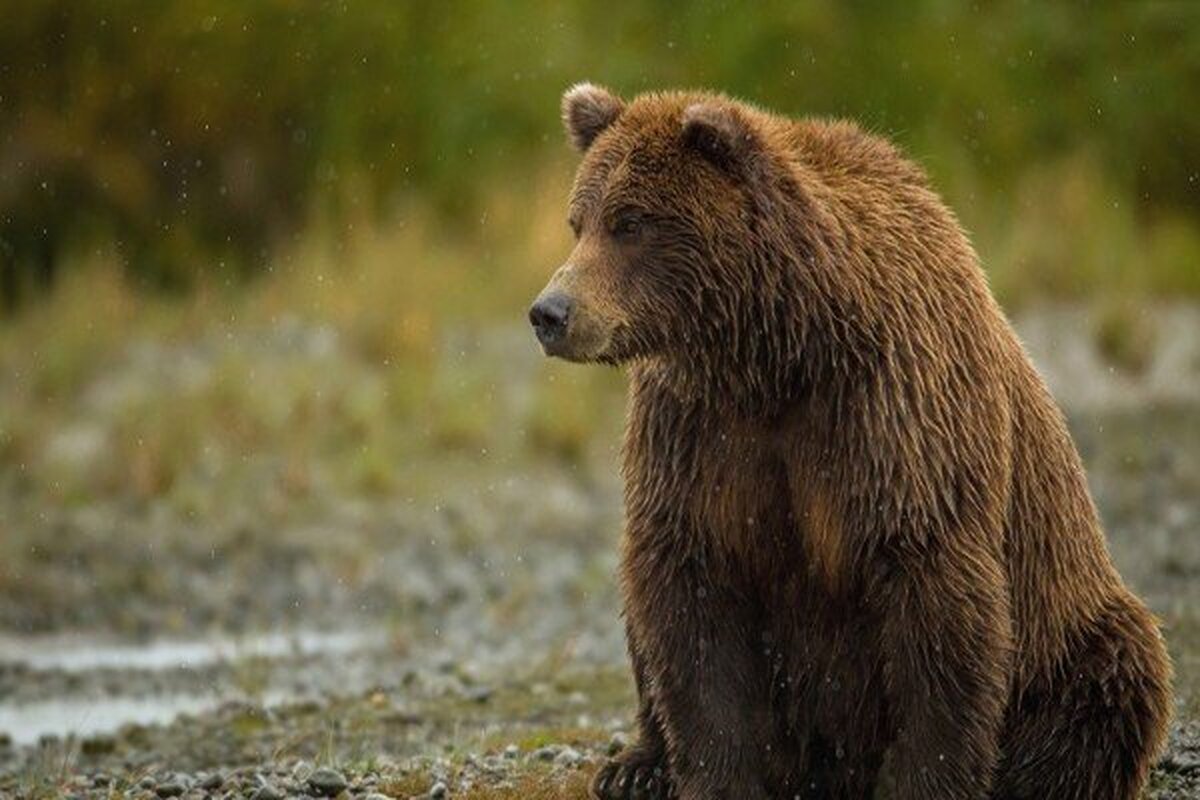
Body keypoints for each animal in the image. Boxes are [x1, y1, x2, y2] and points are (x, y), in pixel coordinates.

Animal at [528, 86, 1171, 800]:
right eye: (578, 222)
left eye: (630, 222)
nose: (550, 312)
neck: (776, 353)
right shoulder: (697, 433)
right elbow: (689, 594)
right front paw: (713, 774)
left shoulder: (895, 417)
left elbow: (935, 606)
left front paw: (924, 780)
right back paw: (636, 766)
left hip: (1070, 627)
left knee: (1108, 680)